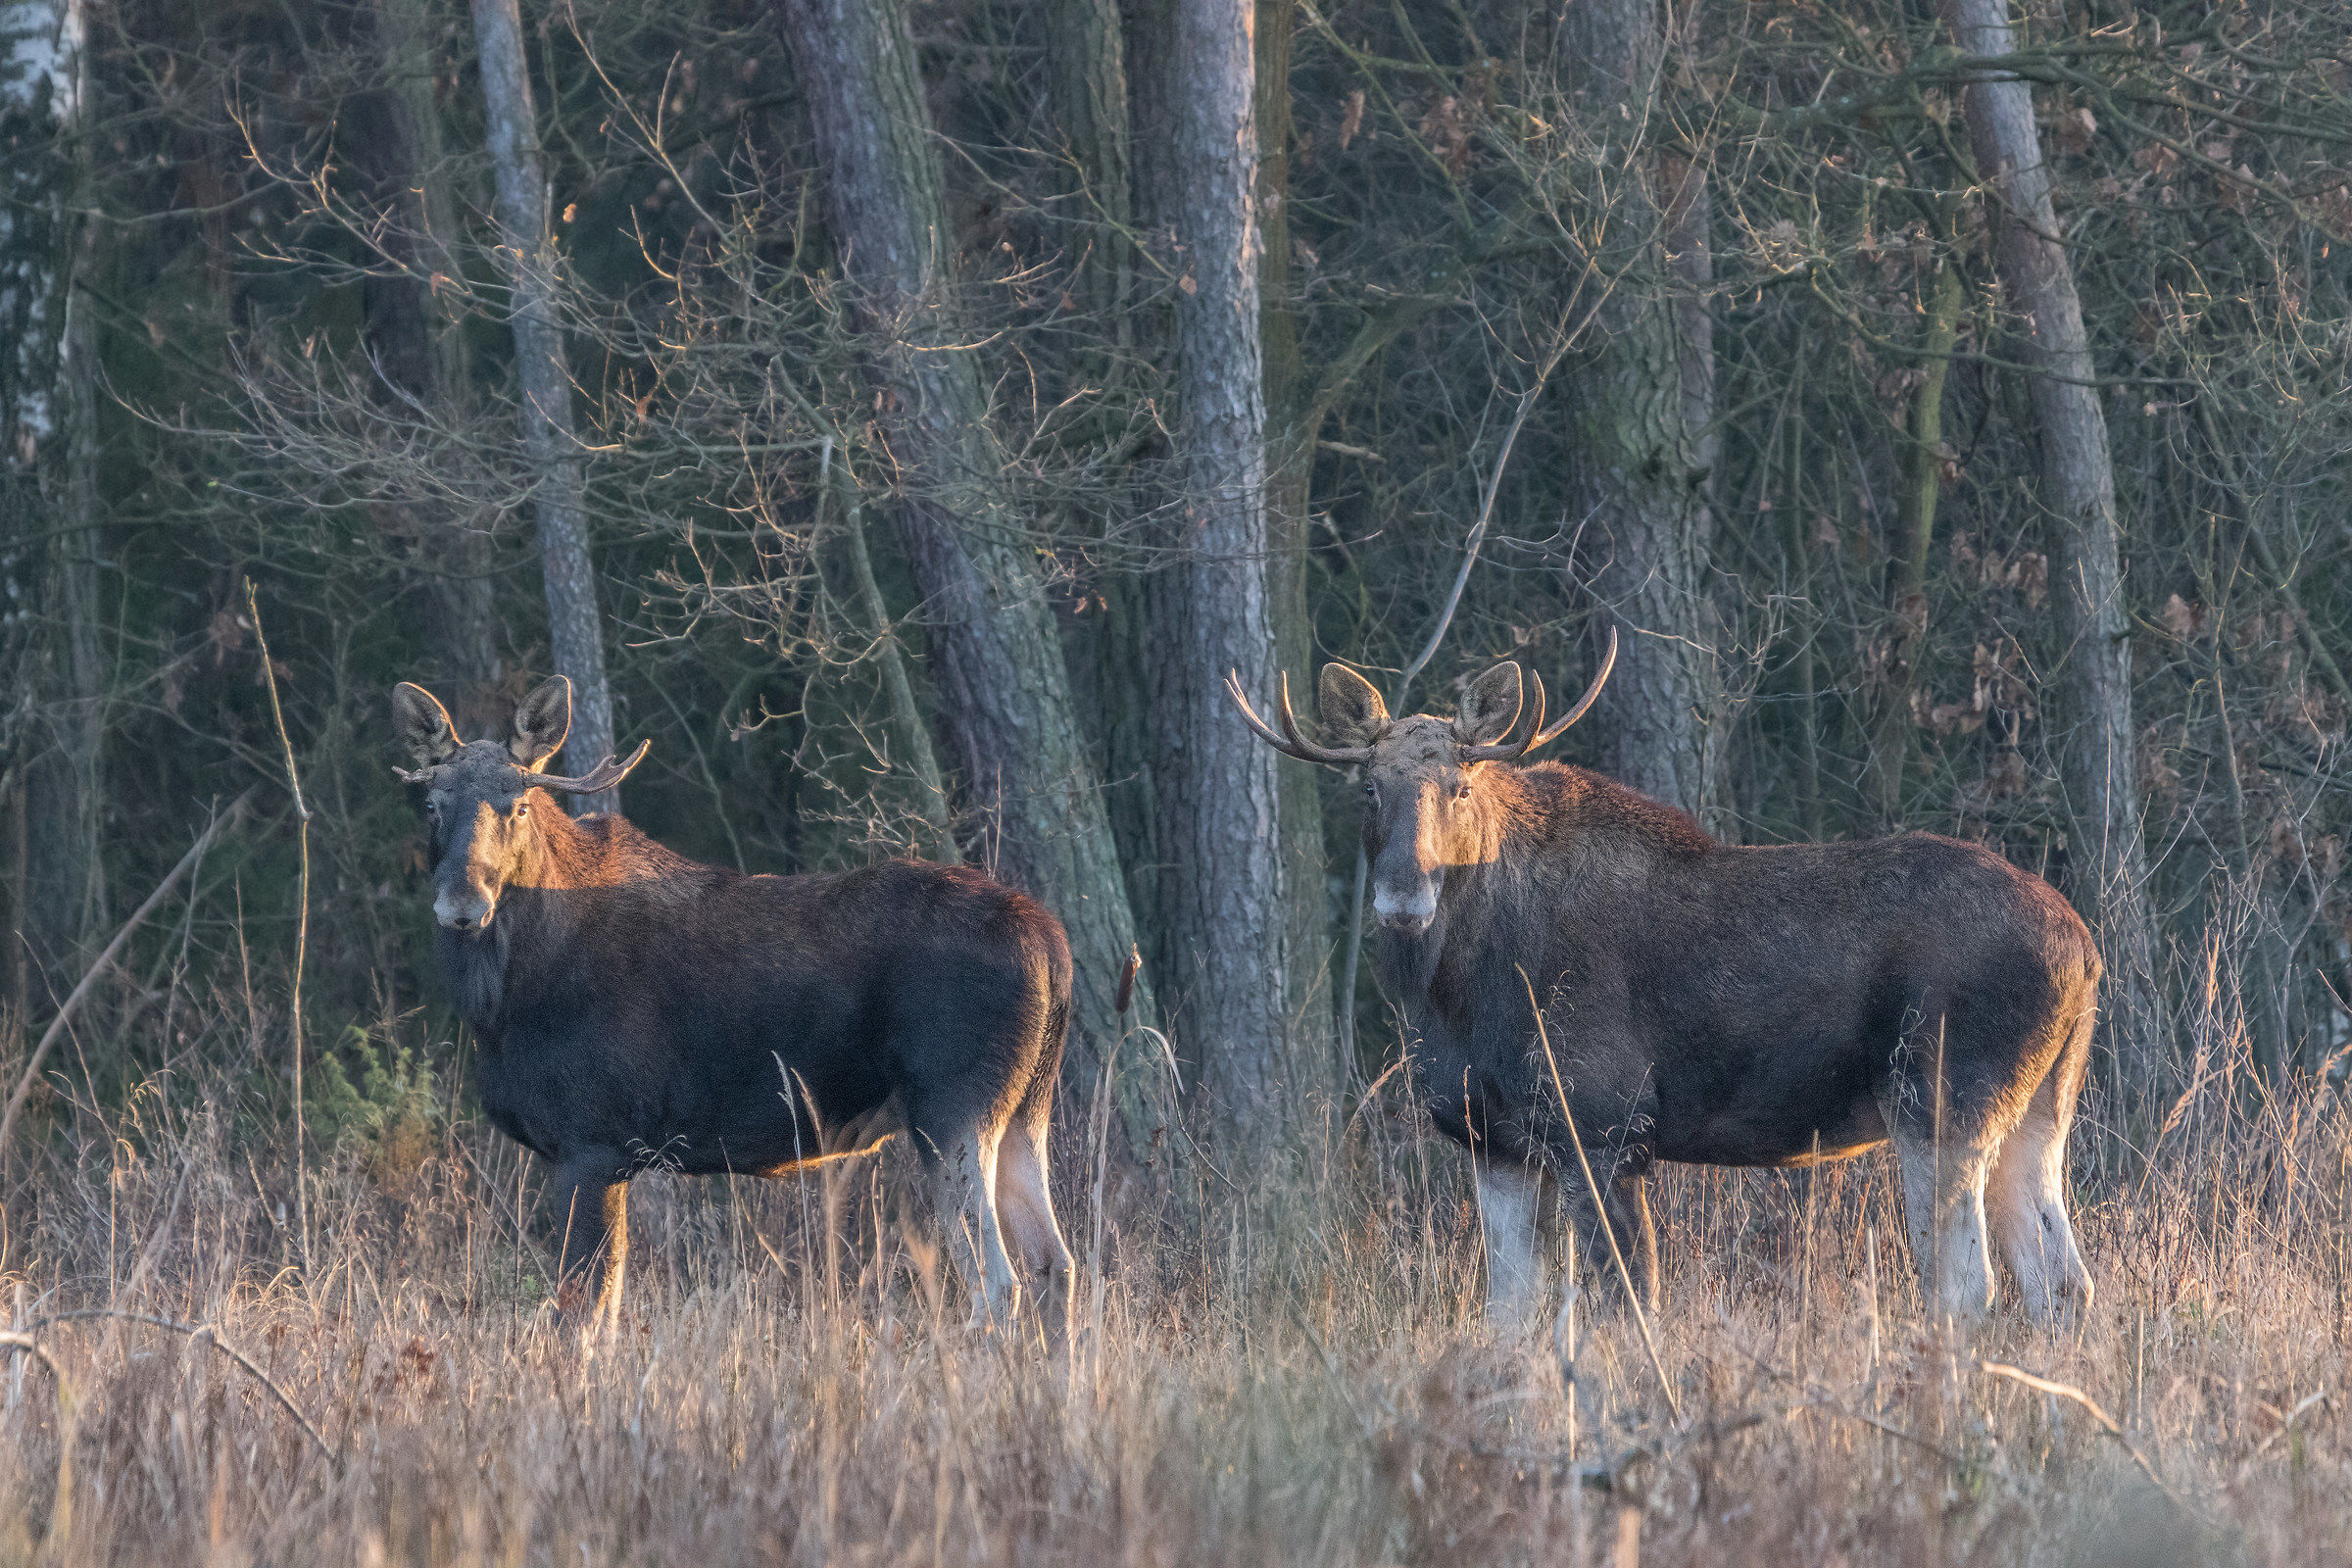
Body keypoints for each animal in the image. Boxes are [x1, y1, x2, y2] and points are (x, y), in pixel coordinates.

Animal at [392, 675, 1074, 1340]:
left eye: (520, 805)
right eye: (431, 804)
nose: (463, 902)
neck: (500, 1005)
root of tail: (1053, 945)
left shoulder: (590, 1142)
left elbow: (578, 1316)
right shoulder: (610, 1156)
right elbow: (606, 1312)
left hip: (952, 1105)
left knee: (1000, 1284)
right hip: (1025, 1108)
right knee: (1055, 1265)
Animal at [1230, 629, 2098, 1326]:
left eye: (1460, 786)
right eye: (1368, 788)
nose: (1403, 896)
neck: (1453, 1000)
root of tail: (2086, 951)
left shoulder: (1605, 1130)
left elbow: (1625, 1305)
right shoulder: (1495, 1142)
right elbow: (1512, 1316)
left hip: (1939, 1100)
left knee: (1970, 1287)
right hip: (2037, 1113)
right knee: (2063, 1283)